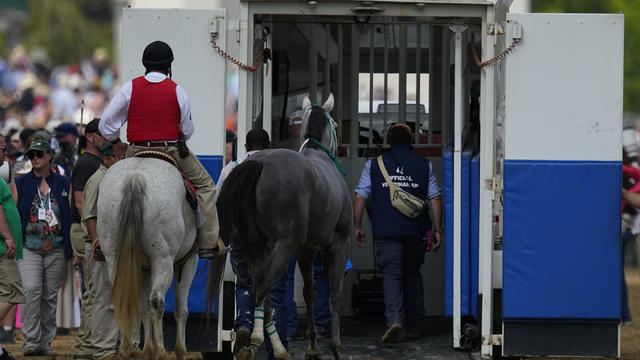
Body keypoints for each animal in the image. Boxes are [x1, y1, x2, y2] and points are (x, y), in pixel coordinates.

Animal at [96, 158, 198, 360]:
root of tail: (135, 177)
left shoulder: (143, 269)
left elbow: (142, 308)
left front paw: (147, 349)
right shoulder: (188, 262)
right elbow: (181, 309)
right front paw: (180, 351)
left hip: (114, 257)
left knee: (123, 298)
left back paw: (126, 349)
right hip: (163, 260)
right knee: (157, 301)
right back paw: (161, 351)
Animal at [215, 94, 356, 358]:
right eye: (335, 123)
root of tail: (259, 163)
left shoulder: (306, 251)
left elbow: (310, 293)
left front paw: (312, 347)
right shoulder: (338, 245)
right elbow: (335, 295)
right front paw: (336, 348)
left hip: (255, 245)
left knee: (257, 286)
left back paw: (274, 345)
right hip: (283, 245)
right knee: (264, 285)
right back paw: (259, 338)